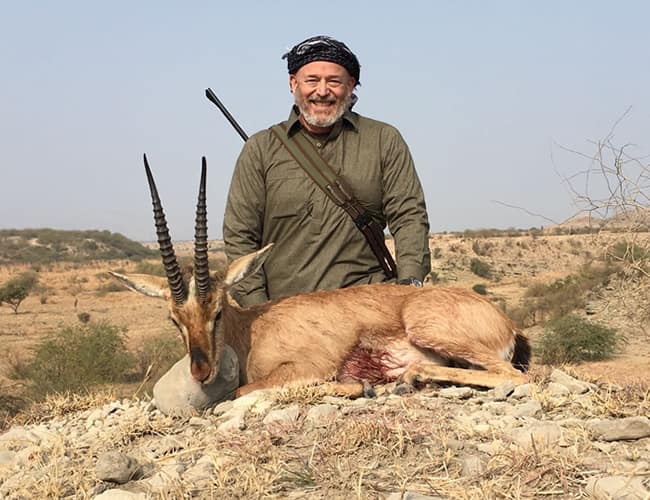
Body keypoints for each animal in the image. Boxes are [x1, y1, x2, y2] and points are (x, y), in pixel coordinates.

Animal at [111, 156, 530, 398]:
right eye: (174, 319)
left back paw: (409, 378)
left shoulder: (306, 367)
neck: (251, 331)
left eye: (217, 311)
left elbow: (242, 392)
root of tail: (507, 324)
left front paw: (356, 387)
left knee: (515, 376)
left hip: (431, 330)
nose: (201, 371)